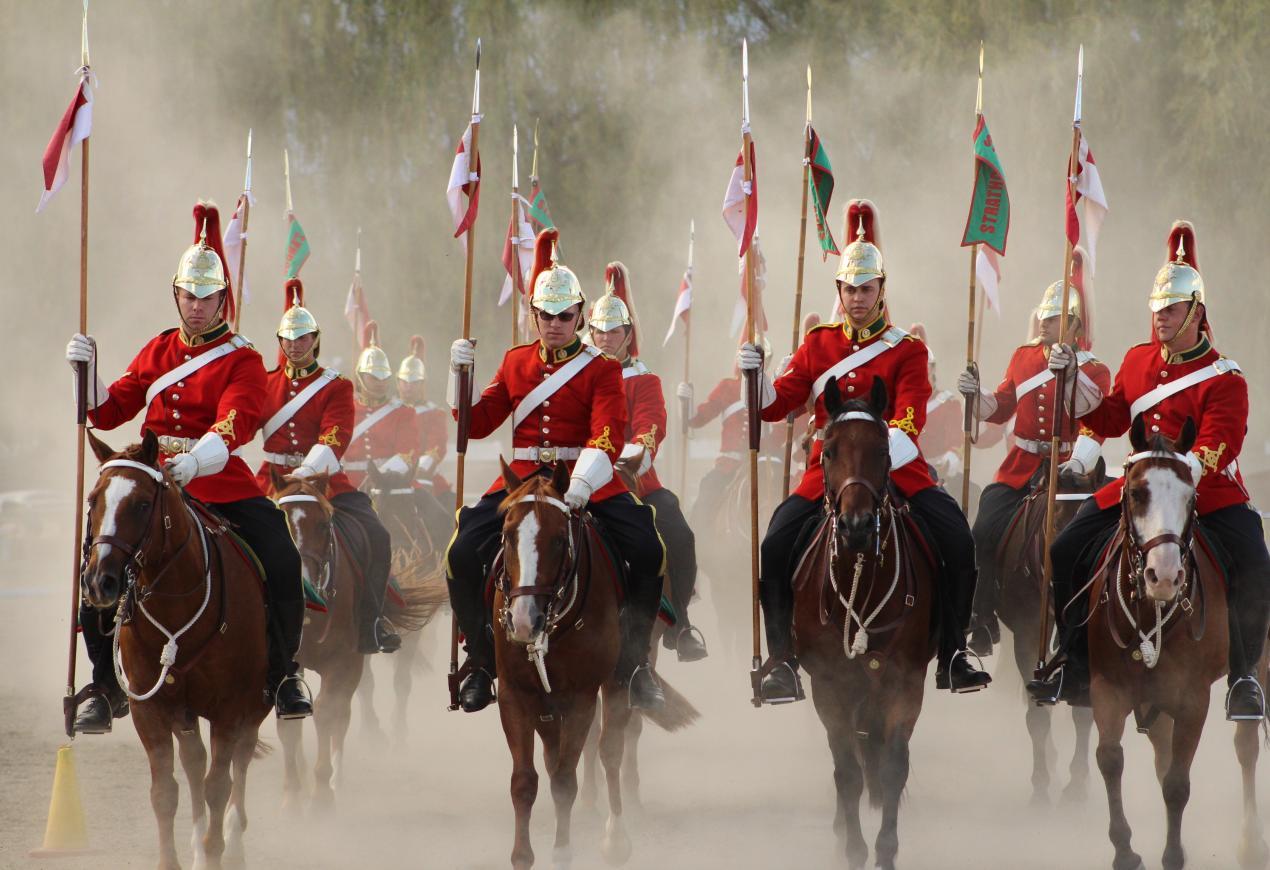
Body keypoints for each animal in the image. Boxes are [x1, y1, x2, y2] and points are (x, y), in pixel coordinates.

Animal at [82, 431, 270, 868]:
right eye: (93, 500)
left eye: (141, 504)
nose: (99, 583)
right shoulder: (150, 710)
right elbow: (165, 792)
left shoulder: (230, 710)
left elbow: (219, 786)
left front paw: (215, 852)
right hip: (184, 712)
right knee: (194, 761)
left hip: (253, 706)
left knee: (238, 764)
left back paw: (233, 845)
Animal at [797, 378, 939, 868]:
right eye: (828, 451)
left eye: (882, 449)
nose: (856, 527)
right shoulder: (828, 685)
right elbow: (848, 772)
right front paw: (855, 848)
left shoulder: (906, 682)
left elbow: (892, 768)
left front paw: (885, 851)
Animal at [995, 464, 1107, 802]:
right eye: (1054, 521)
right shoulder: (1027, 637)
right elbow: (1037, 717)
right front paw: (1041, 785)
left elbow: (1084, 714)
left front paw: (1077, 784)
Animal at [1087, 416, 1264, 868]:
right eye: (1135, 492)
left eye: (1191, 496)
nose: (1164, 576)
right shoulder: (1107, 688)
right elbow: (1110, 759)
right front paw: (1125, 850)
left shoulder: (1192, 698)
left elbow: (1176, 784)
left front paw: (1172, 855)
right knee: (1160, 753)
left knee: (1246, 746)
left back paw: (1251, 844)